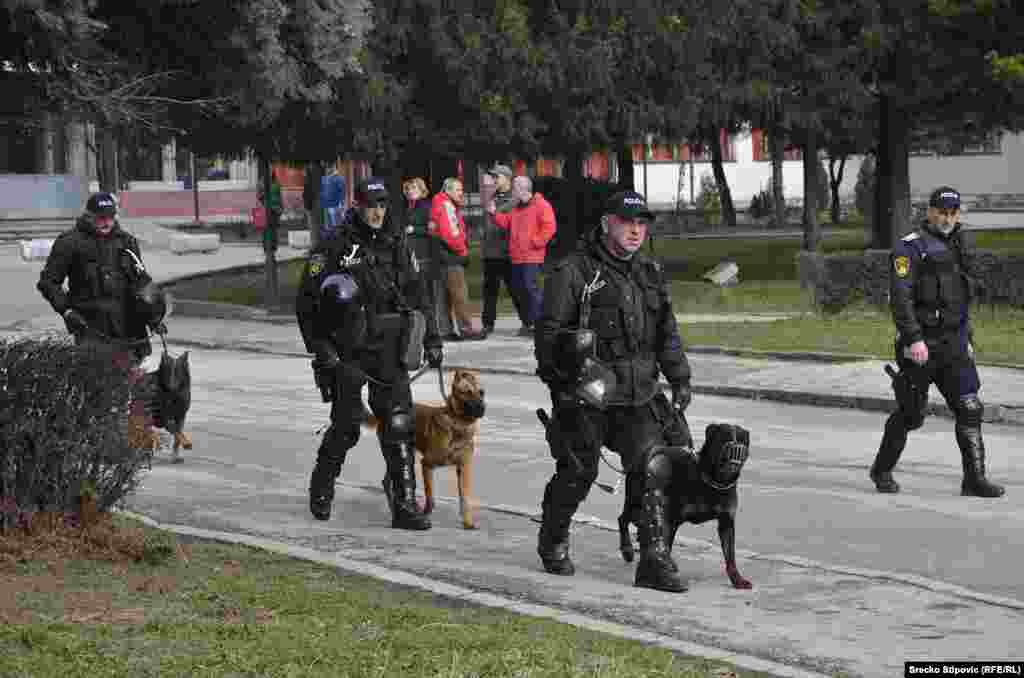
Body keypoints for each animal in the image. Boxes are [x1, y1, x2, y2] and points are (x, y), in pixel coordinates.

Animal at [366, 368, 485, 528]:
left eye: (482, 392)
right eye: (467, 392)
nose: (482, 408)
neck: (458, 423)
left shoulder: (463, 467)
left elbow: (464, 497)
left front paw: (467, 521)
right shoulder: (427, 464)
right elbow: (430, 497)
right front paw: (424, 513)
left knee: (387, 481)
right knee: (388, 482)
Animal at [614, 426, 753, 589]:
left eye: (743, 441)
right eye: (723, 438)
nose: (735, 449)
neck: (713, 481)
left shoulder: (727, 521)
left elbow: (730, 554)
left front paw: (737, 579)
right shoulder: (673, 519)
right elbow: (667, 542)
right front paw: (662, 571)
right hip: (636, 499)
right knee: (623, 518)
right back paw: (627, 549)